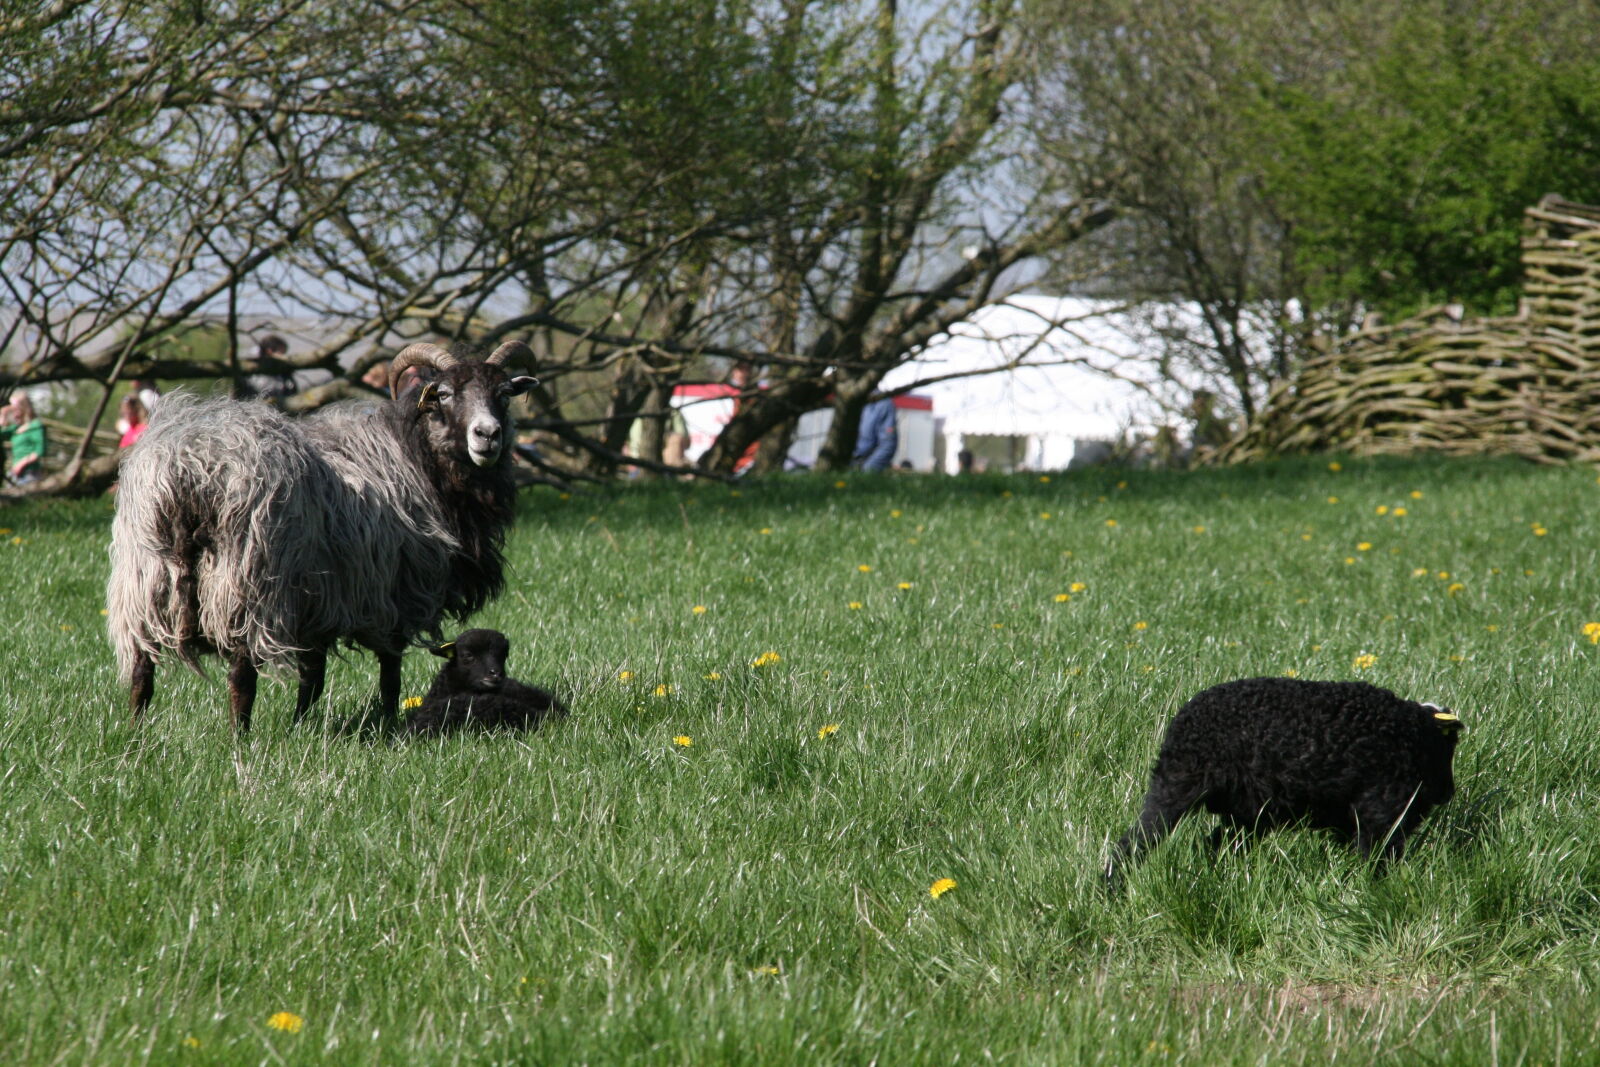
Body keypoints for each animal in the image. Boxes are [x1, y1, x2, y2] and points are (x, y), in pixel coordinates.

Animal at [106, 341, 538, 732]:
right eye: (444, 394)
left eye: (503, 394)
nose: (488, 435)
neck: (415, 455)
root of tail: (191, 464)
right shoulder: (395, 594)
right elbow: (390, 673)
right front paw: (389, 722)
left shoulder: (320, 602)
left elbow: (313, 677)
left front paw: (301, 726)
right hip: (245, 583)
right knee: (241, 677)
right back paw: (239, 741)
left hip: (145, 579)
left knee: (142, 670)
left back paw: (136, 735)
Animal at [1105, 677, 1464, 888]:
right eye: (1447, 748)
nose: (1447, 792)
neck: (1412, 735)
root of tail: (1182, 718)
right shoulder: (1381, 812)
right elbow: (1376, 861)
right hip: (1176, 787)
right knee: (1134, 843)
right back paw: (1112, 887)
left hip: (1248, 814)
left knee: (1215, 845)